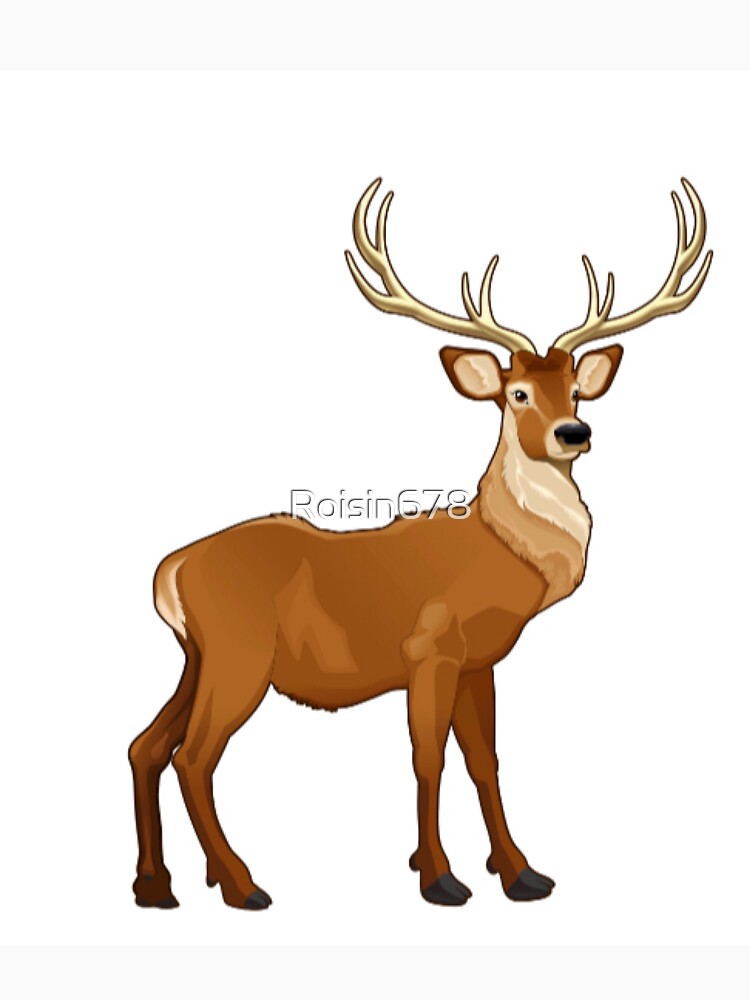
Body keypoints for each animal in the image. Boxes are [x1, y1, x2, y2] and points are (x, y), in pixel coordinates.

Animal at [129, 177, 712, 911]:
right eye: (517, 393)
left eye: (577, 389)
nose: (573, 433)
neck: (501, 555)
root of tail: (170, 571)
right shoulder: (430, 647)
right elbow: (427, 758)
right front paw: (439, 877)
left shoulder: (478, 660)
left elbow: (485, 761)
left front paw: (521, 873)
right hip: (241, 653)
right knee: (193, 756)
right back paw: (241, 883)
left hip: (198, 656)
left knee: (147, 746)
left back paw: (157, 885)